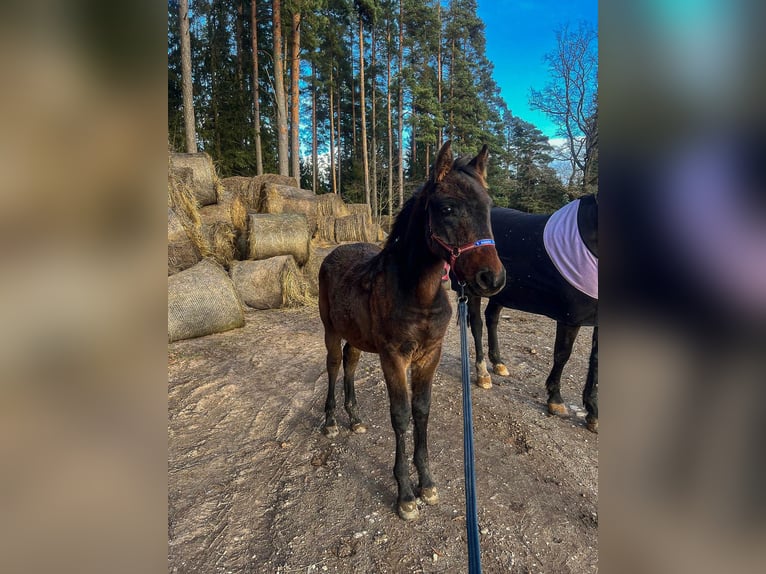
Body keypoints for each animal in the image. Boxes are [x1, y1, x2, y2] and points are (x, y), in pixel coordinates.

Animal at [320, 142, 508, 520]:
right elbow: (401, 414)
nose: (492, 279)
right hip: (330, 330)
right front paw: (405, 493)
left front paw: (427, 484)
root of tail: (333, 252)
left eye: (489, 206)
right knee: (333, 366)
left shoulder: (428, 355)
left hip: (357, 337)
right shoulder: (394, 357)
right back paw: (331, 421)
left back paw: (355, 417)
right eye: (447, 208)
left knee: (350, 364)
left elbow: (421, 410)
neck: (418, 295)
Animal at [464, 196, 604, 434]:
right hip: (475, 290)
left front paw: (593, 415)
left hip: (501, 292)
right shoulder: (570, 317)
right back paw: (483, 374)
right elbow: (562, 355)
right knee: (477, 325)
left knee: (492, 318)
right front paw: (555, 400)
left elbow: (595, 362)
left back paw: (499, 363)